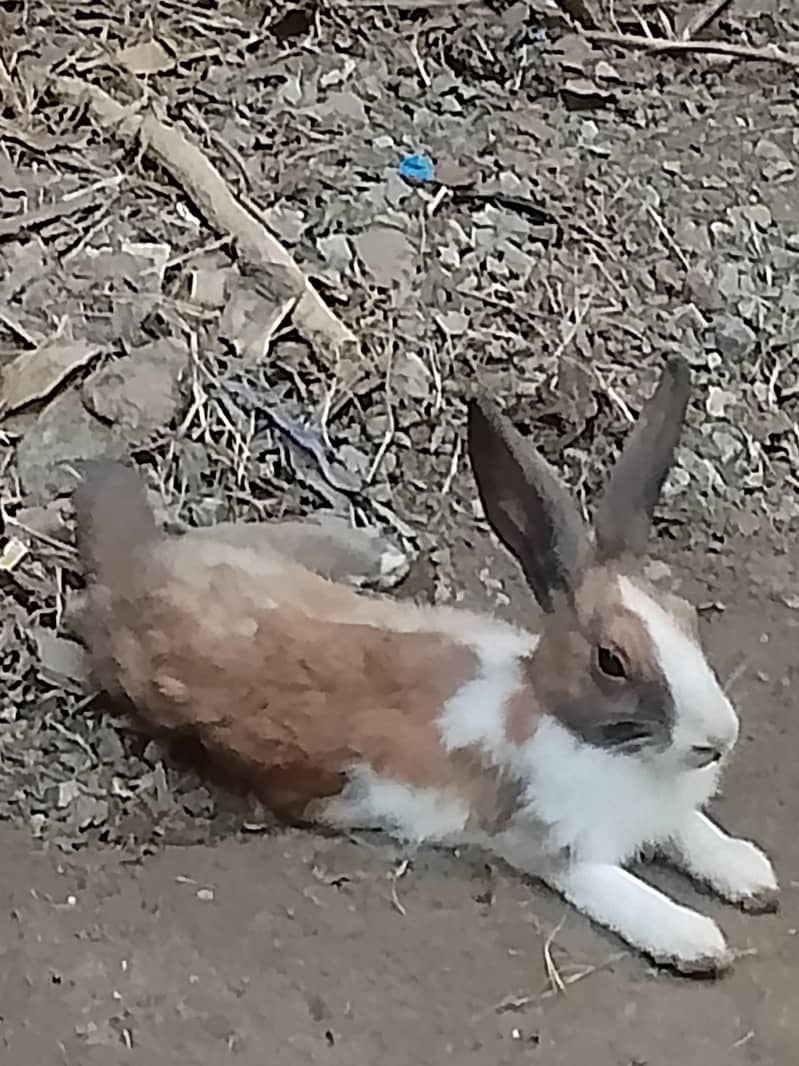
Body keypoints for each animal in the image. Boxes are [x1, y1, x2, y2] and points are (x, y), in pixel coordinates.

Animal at [72, 353, 778, 975]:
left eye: (687, 614)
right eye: (611, 660)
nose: (719, 738)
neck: (574, 729)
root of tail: (134, 571)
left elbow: (691, 831)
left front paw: (751, 874)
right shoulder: (553, 848)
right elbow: (620, 889)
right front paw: (696, 940)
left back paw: (381, 556)